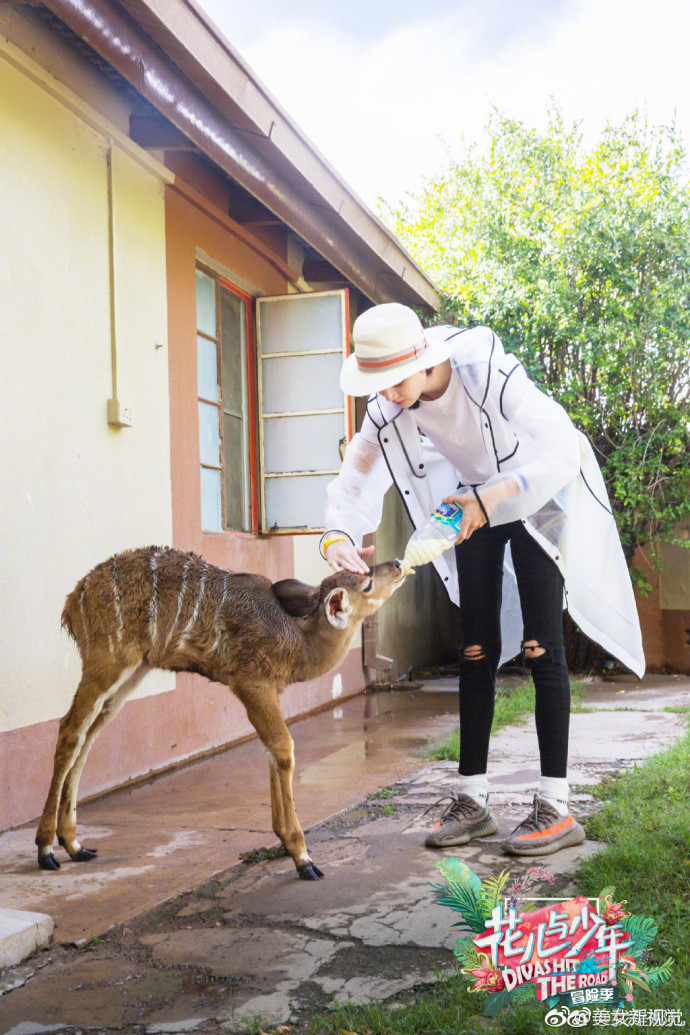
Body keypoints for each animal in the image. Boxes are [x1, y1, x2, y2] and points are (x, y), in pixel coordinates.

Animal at [36, 546, 405, 877]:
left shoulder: (270, 690)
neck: (299, 642)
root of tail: (72, 602)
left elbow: (271, 751)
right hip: (107, 660)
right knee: (70, 729)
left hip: (133, 671)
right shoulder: (251, 683)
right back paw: (46, 850)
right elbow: (283, 749)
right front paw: (302, 857)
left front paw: (285, 841)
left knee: (89, 734)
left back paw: (74, 845)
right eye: (367, 583)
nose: (399, 563)